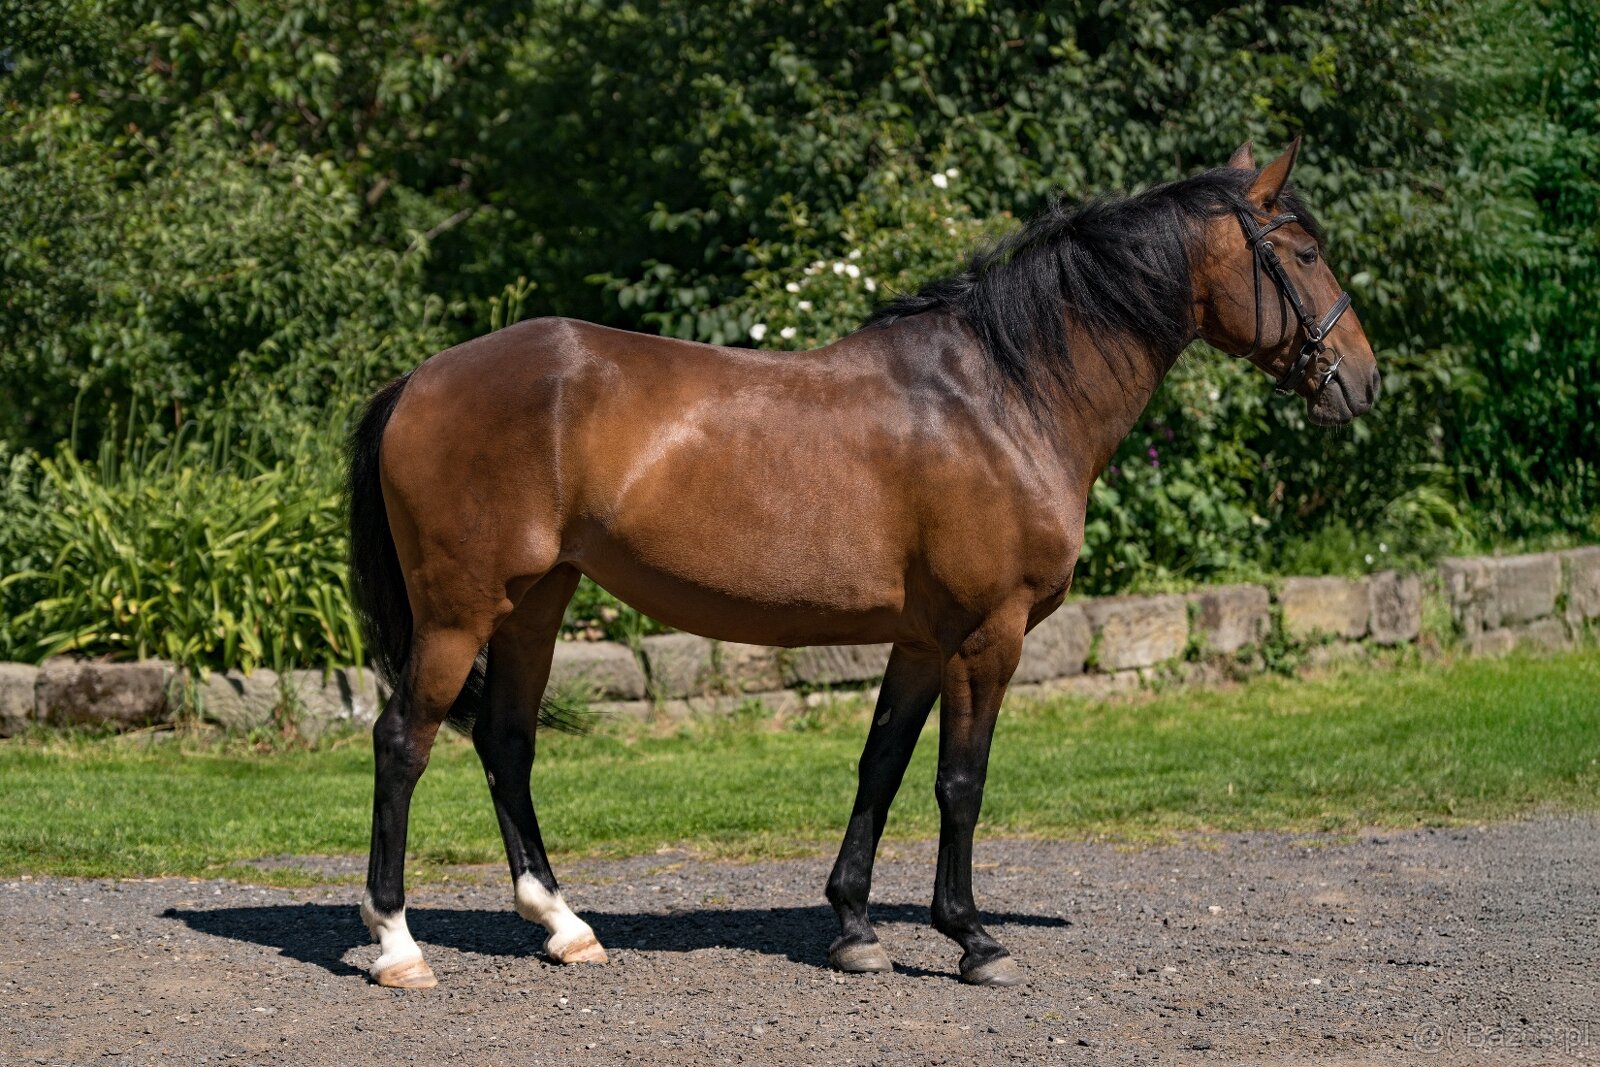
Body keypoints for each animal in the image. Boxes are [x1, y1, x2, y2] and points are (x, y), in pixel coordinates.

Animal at [346, 139, 1378, 989]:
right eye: (1302, 252)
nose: (1365, 382)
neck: (1002, 395)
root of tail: (418, 379)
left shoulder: (922, 641)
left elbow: (879, 766)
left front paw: (853, 927)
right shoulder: (988, 636)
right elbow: (960, 782)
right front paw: (973, 938)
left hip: (536, 603)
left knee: (506, 743)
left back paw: (565, 925)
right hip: (459, 612)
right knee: (403, 742)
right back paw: (398, 943)